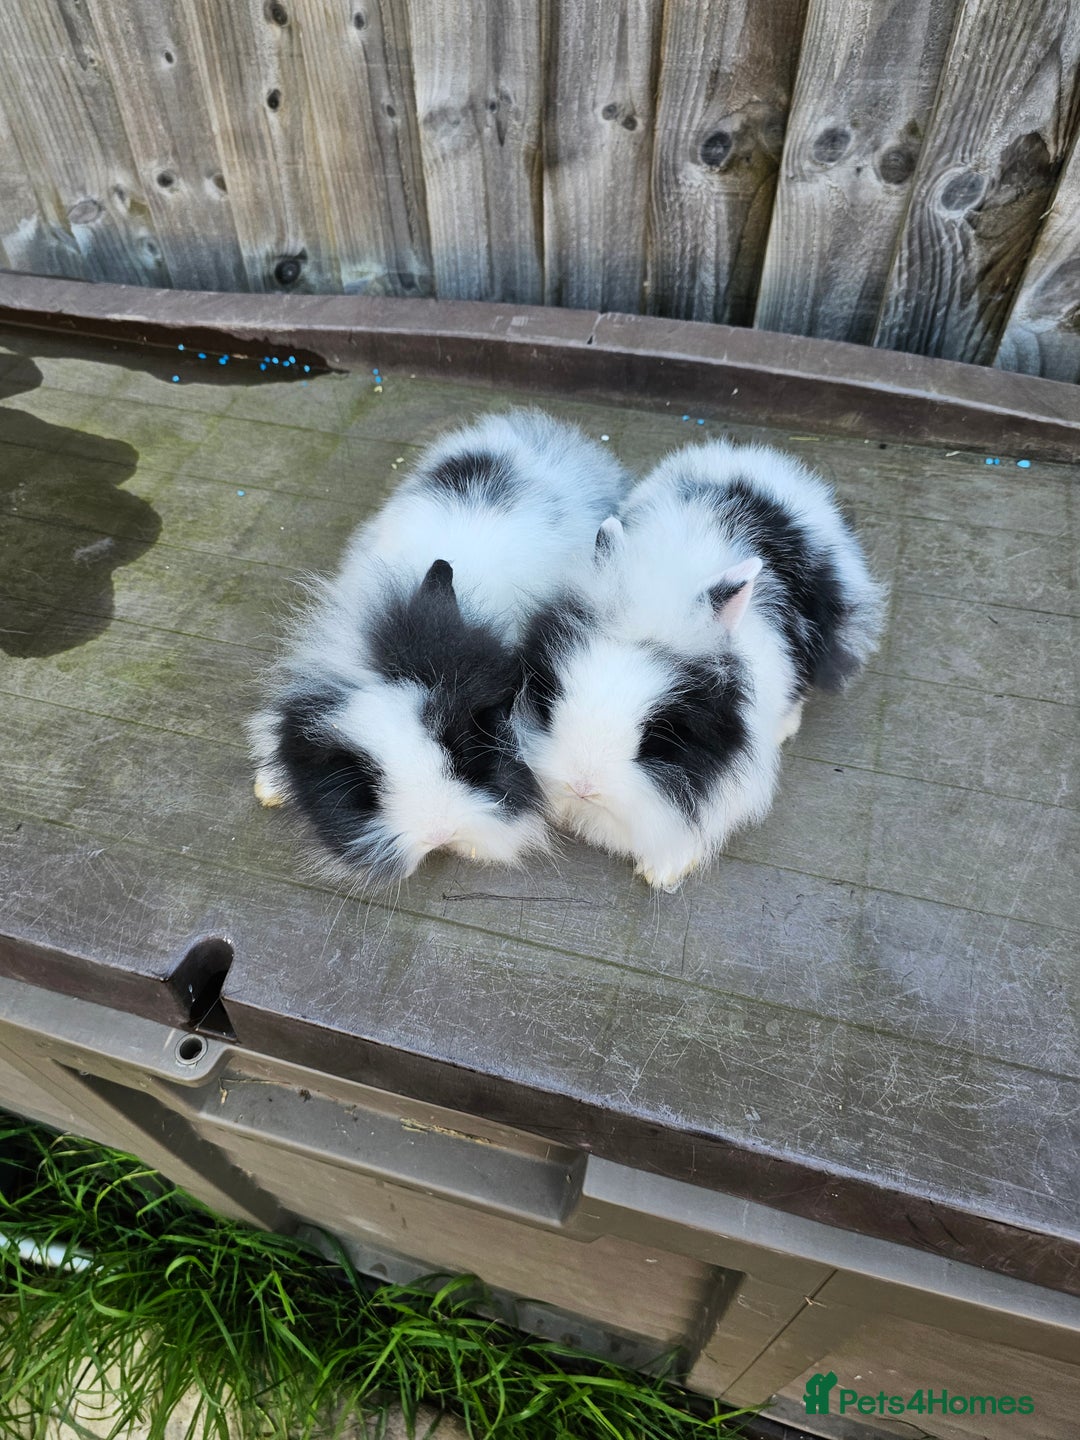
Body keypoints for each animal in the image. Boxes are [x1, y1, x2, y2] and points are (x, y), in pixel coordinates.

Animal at [515, 440, 886, 891]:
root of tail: (755, 458)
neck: (666, 587)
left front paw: (662, 872)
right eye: (551, 702)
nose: (582, 785)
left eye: (659, 734)